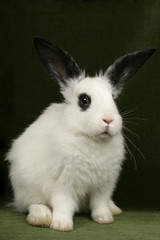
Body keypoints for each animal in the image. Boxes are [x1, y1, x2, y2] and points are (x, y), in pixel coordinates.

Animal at [6, 36, 156, 232]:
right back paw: (41, 217)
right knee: (32, 204)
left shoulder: (104, 186)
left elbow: (99, 203)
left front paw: (105, 219)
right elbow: (63, 204)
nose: (108, 120)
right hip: (27, 185)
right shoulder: (63, 184)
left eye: (113, 98)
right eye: (84, 100)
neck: (92, 140)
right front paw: (61, 225)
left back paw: (114, 209)